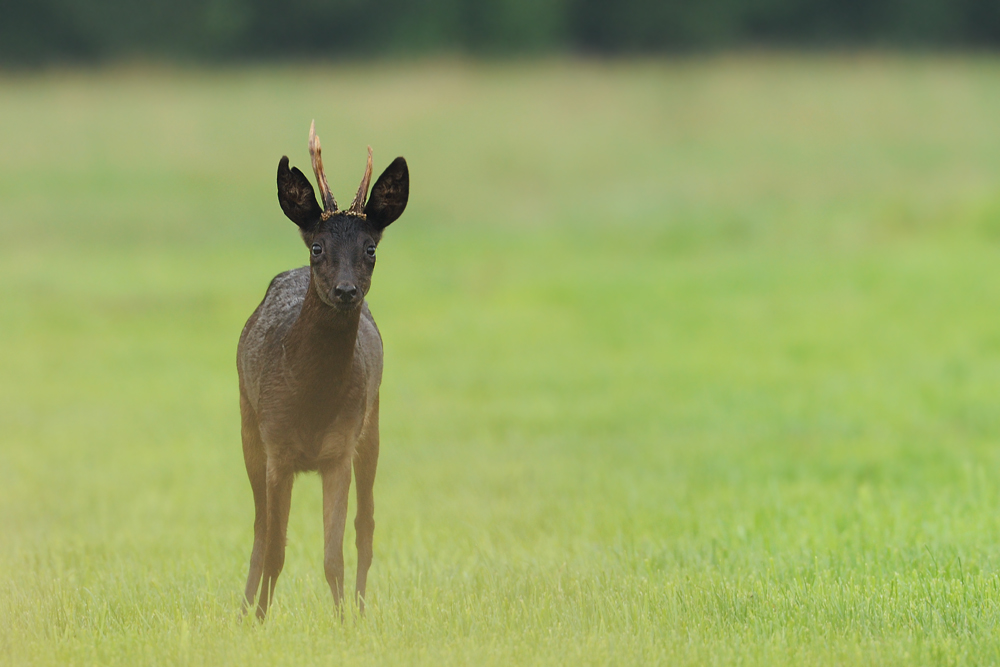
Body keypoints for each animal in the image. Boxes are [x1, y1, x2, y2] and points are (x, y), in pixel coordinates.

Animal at [236, 122, 408, 620]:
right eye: (318, 246)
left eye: (370, 248)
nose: (346, 290)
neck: (310, 400)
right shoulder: (275, 446)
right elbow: (275, 548)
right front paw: (259, 618)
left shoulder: (339, 448)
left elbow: (335, 555)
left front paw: (344, 622)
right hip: (247, 428)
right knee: (260, 530)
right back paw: (243, 607)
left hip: (372, 428)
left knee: (366, 528)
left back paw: (363, 610)